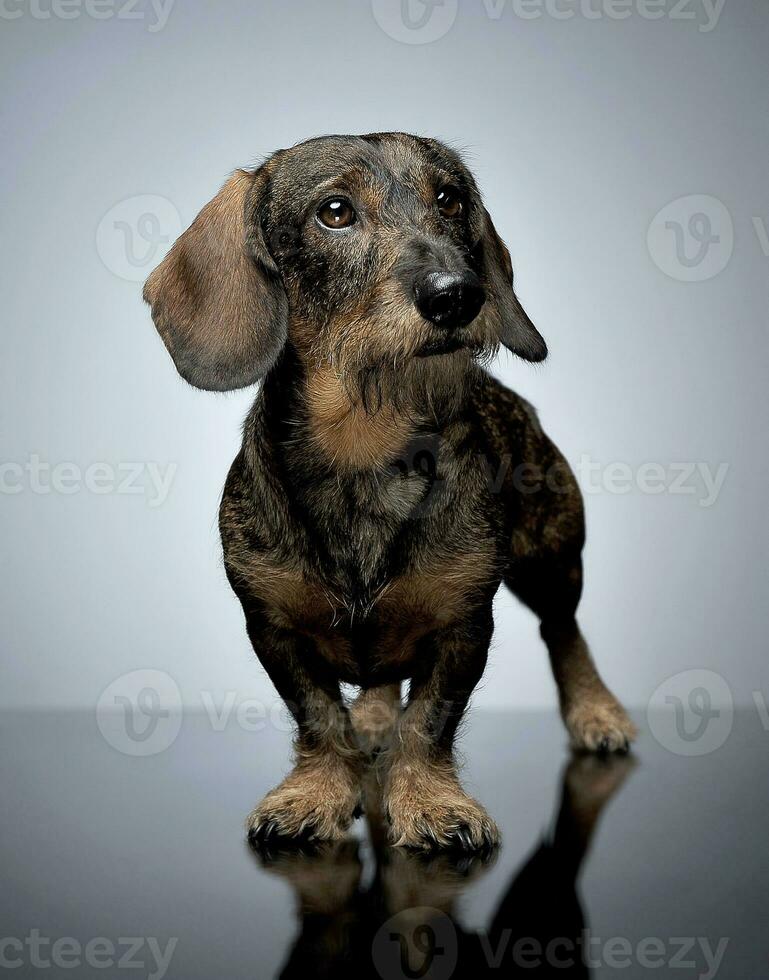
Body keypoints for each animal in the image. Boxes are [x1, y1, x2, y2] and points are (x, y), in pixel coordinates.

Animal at [144, 130, 636, 848]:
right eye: (335, 211)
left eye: (449, 198)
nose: (457, 295)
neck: (364, 445)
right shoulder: (272, 628)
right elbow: (319, 714)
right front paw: (317, 792)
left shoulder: (464, 624)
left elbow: (430, 720)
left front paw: (430, 802)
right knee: (380, 686)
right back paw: (373, 721)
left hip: (551, 558)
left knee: (563, 630)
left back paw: (595, 710)